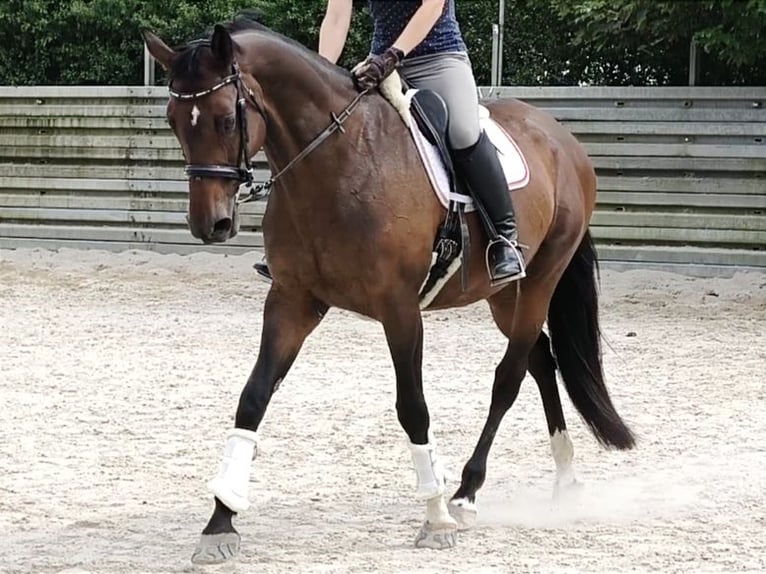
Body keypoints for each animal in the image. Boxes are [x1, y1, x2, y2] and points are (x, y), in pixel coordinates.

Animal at [142, 16, 636, 568]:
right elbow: (253, 397)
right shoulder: (292, 300)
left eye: (227, 119)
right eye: (173, 121)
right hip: (503, 295)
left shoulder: (400, 310)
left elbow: (412, 407)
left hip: (539, 280)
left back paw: (466, 493)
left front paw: (436, 517)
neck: (337, 162)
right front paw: (220, 523)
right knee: (541, 359)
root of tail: (562, 140)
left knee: (509, 377)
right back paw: (564, 478)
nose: (210, 225)